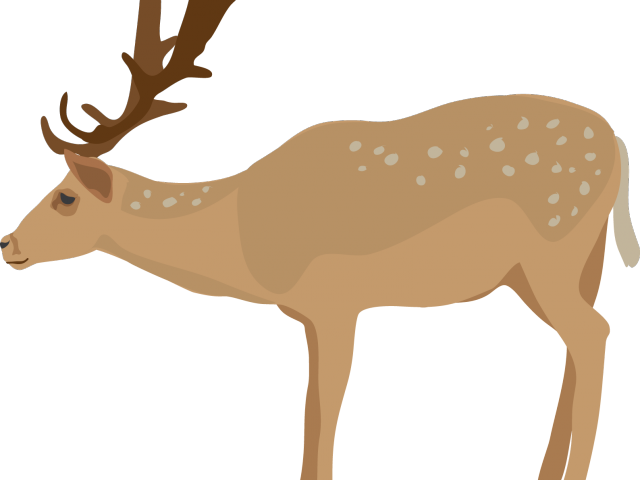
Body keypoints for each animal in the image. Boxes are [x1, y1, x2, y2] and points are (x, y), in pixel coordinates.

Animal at [1, 1, 638, 479]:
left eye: (65, 196)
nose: (7, 243)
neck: (245, 240)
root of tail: (617, 143)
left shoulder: (335, 302)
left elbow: (321, 408)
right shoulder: (312, 312)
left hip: (554, 247)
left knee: (592, 333)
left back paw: (572, 474)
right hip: (570, 264)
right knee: (580, 338)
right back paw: (548, 470)